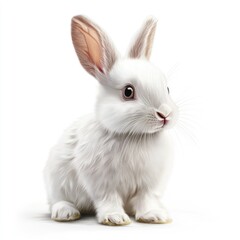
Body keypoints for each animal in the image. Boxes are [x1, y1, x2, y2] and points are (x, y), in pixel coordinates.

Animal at [43, 14, 178, 225]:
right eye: (128, 92)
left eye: (167, 88)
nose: (165, 114)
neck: (136, 136)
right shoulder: (102, 182)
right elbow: (108, 199)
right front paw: (115, 218)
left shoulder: (148, 184)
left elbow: (146, 199)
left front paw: (153, 216)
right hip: (56, 179)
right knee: (57, 200)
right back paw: (66, 212)